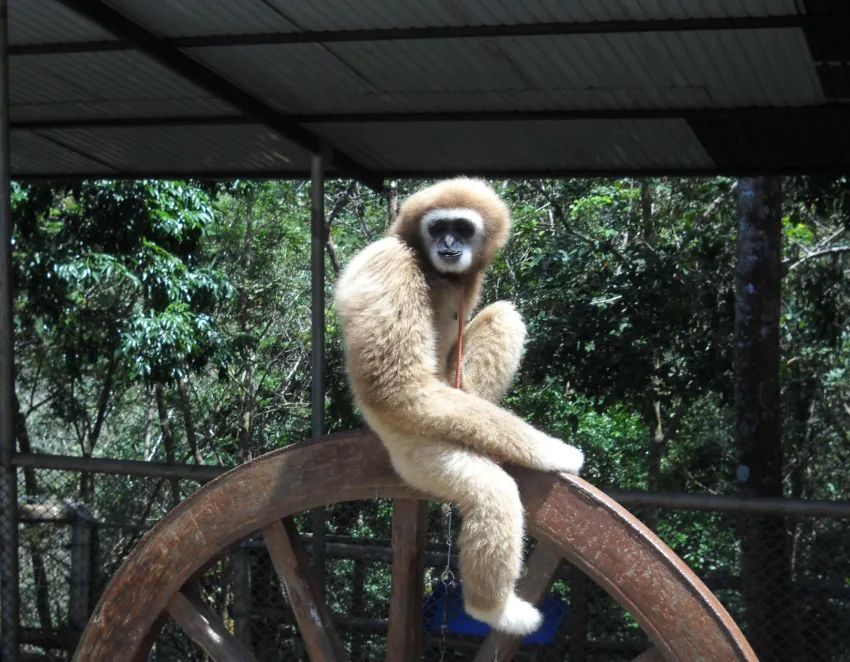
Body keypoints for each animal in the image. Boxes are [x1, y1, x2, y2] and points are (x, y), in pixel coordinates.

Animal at [333, 177, 584, 635]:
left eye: (463, 229)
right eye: (438, 228)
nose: (449, 243)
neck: (429, 268)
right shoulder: (388, 263)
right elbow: (398, 386)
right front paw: (552, 451)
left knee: (504, 317)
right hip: (415, 453)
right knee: (492, 491)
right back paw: (495, 610)